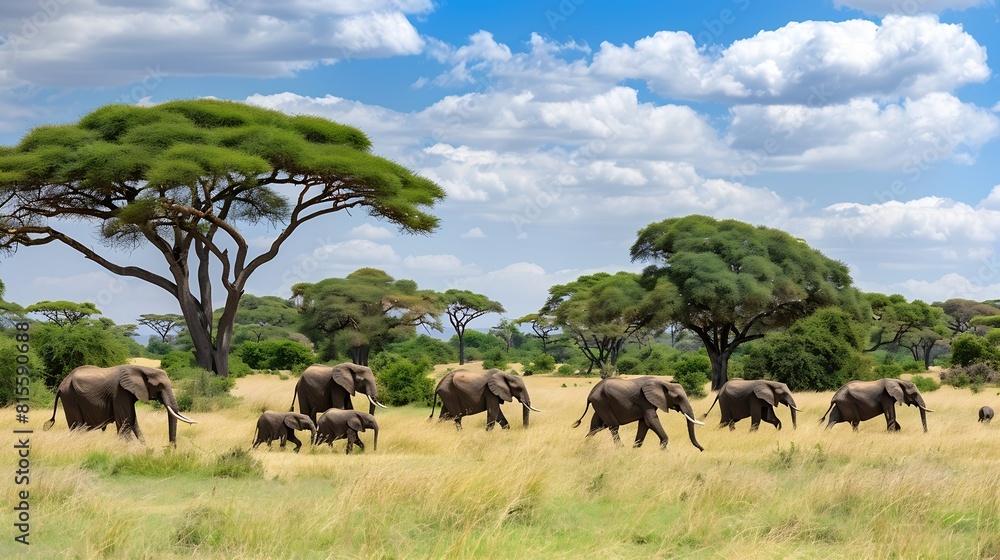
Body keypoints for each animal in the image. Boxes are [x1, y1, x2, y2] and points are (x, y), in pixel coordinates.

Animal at [42, 364, 197, 445]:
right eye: (160, 386)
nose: (171, 450)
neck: (142, 368)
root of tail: (61, 385)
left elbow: (133, 421)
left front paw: (145, 448)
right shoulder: (120, 392)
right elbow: (125, 422)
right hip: (70, 398)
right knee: (77, 427)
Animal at [572, 376, 704, 451]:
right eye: (677, 397)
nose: (702, 449)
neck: (663, 382)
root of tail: (590, 394)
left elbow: (644, 424)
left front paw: (635, 450)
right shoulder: (645, 401)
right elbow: (651, 421)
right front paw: (664, 451)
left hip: (600, 404)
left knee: (596, 427)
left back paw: (586, 445)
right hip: (602, 403)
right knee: (613, 426)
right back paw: (621, 449)